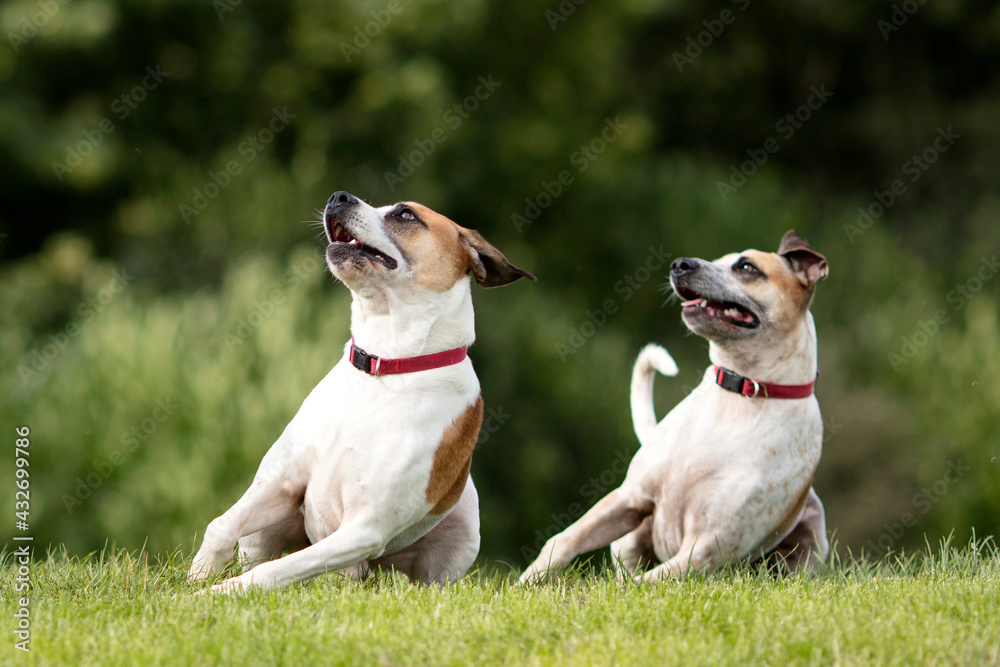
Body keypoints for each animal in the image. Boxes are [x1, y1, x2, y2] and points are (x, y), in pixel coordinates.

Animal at [185, 190, 536, 592]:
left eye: (405, 215)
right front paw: (194, 579)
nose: (338, 196)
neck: (385, 368)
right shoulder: (283, 481)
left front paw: (217, 592)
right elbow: (220, 526)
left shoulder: (364, 529)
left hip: (457, 539)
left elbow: (277, 570)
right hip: (264, 533)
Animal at [520, 231, 832, 584]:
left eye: (747, 267)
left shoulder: (706, 548)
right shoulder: (630, 498)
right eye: (720, 259)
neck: (741, 393)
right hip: (628, 542)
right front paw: (524, 585)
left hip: (813, 539)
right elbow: (562, 541)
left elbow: (642, 585)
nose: (680, 264)